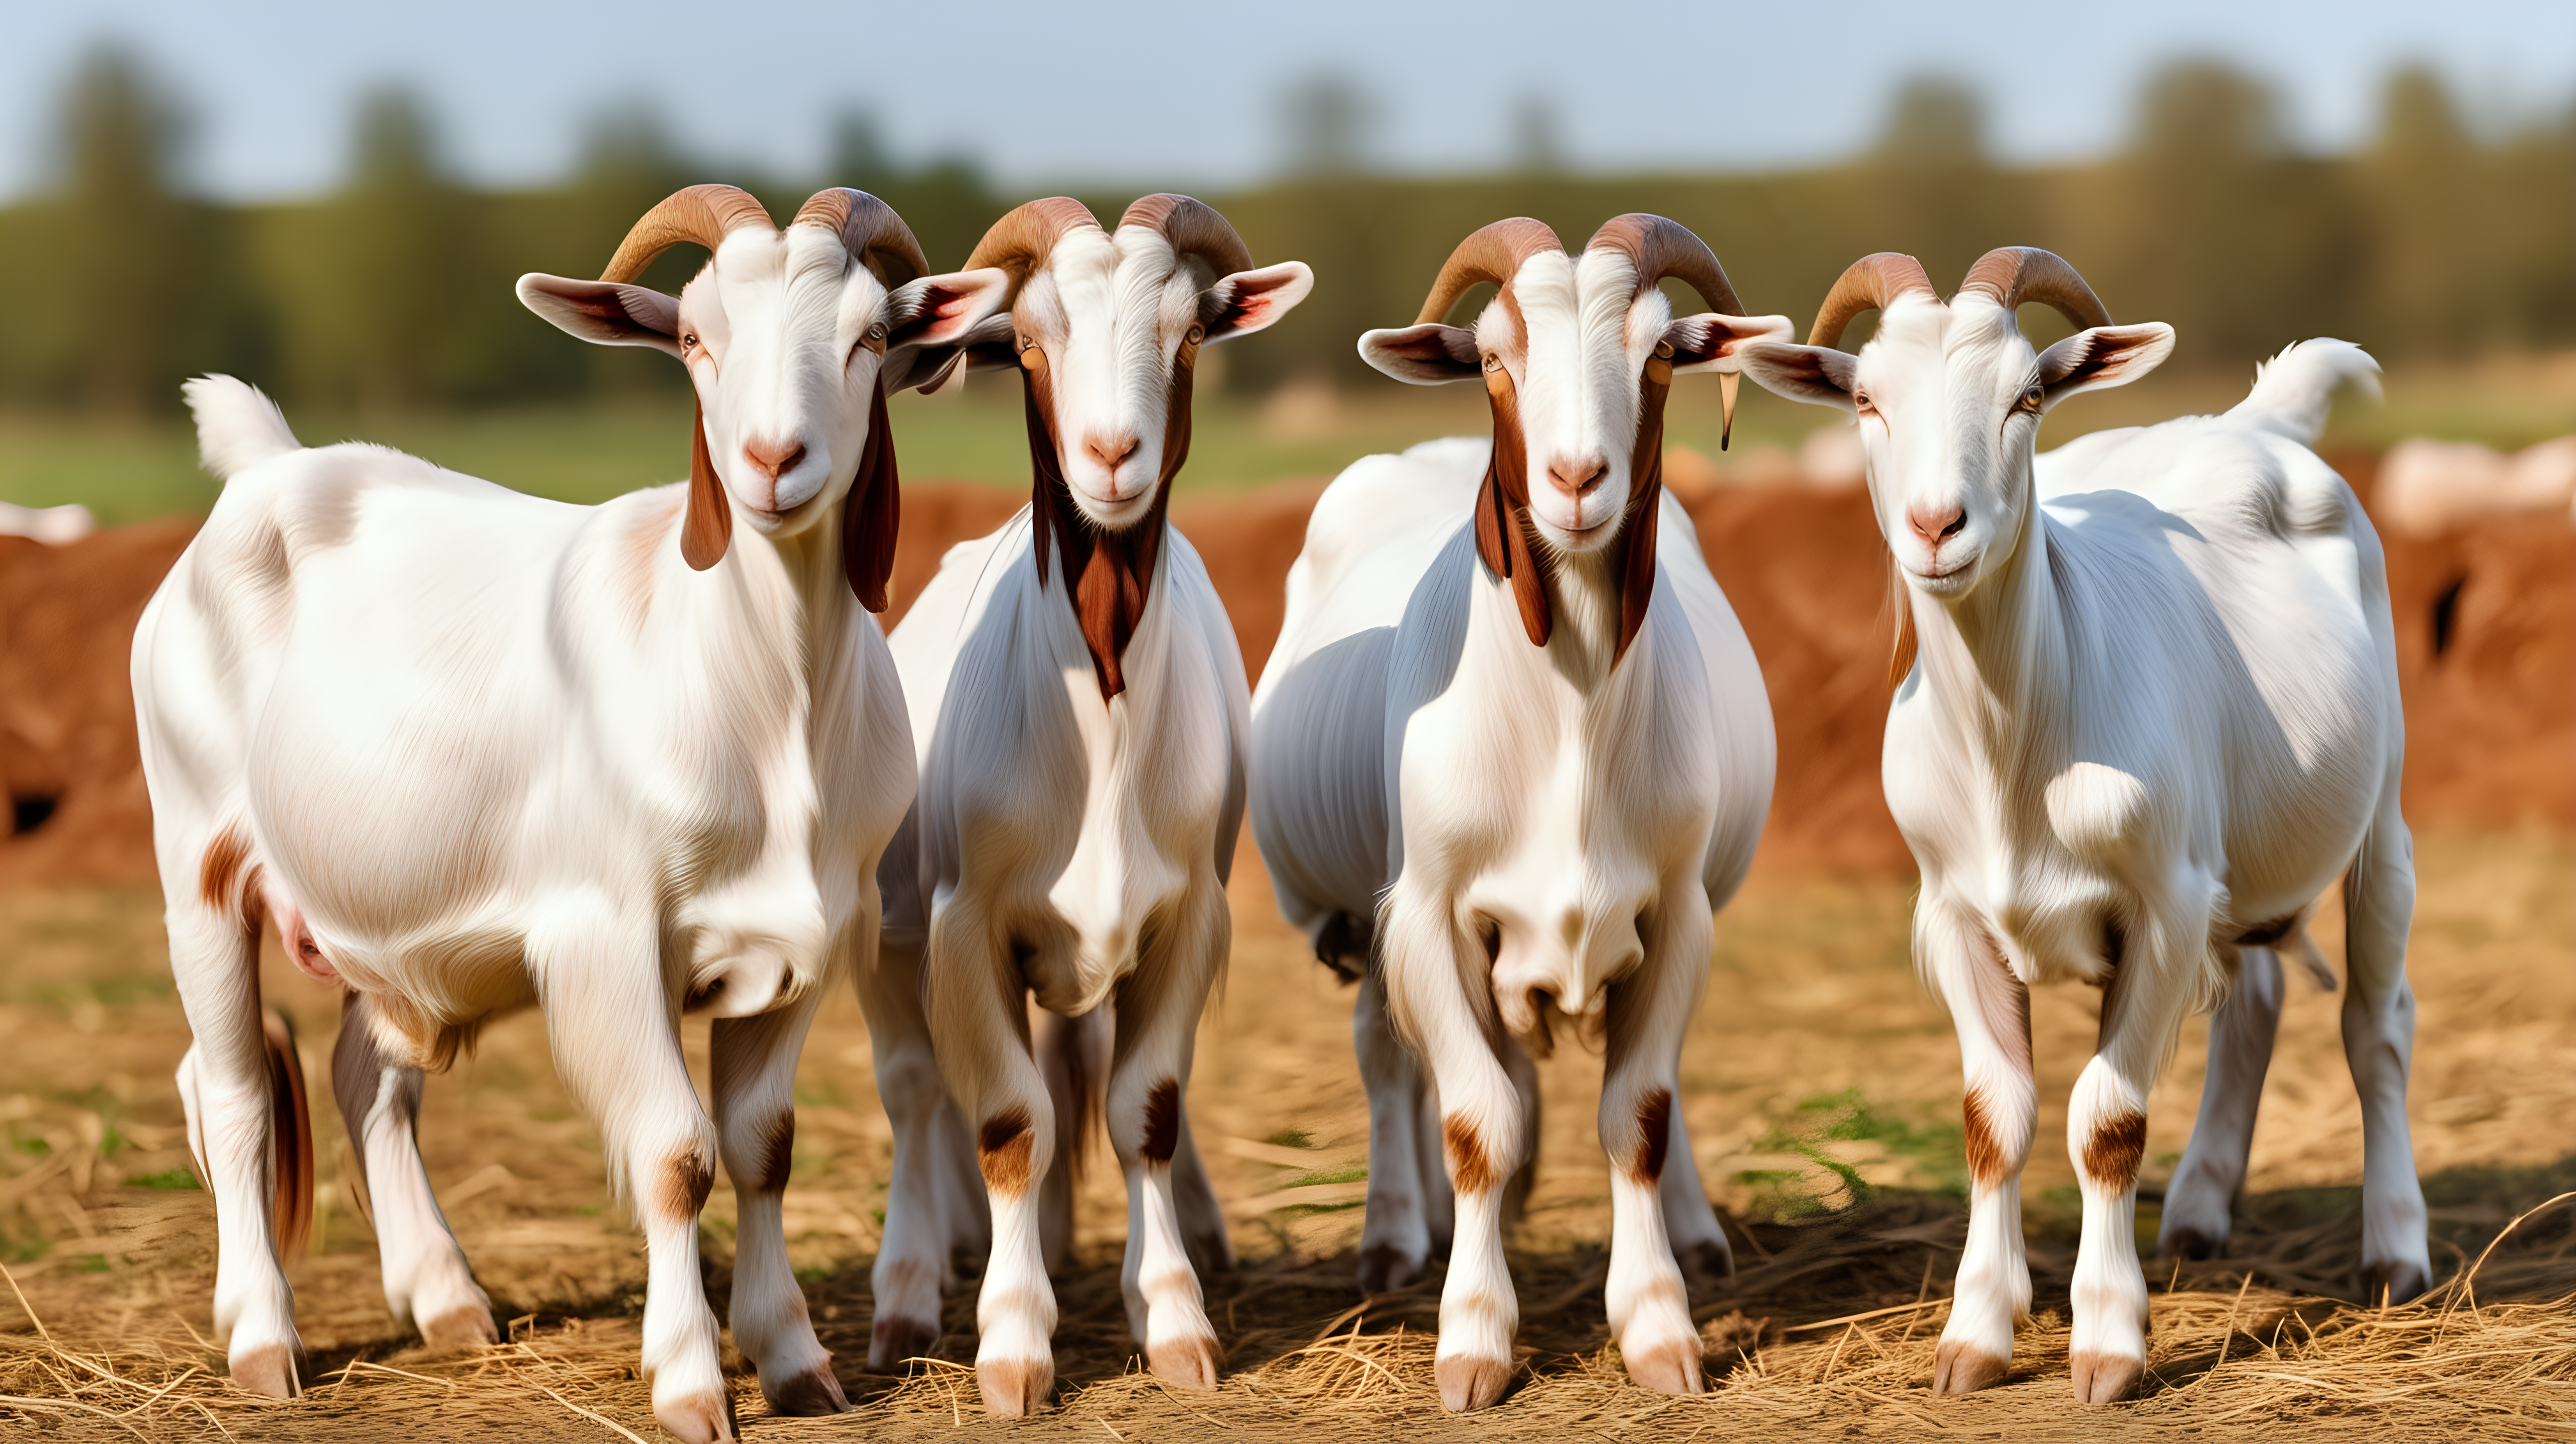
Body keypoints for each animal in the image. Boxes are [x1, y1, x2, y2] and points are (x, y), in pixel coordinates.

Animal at [136, 185, 1004, 1433]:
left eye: (869, 338)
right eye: (693, 337)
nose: (772, 460)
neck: (761, 697)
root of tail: (271, 466)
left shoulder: (808, 937)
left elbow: (763, 1145)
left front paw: (795, 1362)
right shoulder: (605, 935)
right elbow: (675, 1155)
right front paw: (689, 1383)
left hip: (386, 907)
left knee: (366, 1076)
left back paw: (446, 1299)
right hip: (195, 853)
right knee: (236, 1090)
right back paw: (263, 1339)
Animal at [870, 192, 1319, 1413]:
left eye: (1190, 332)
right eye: (1028, 341)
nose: (1113, 457)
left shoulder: (1188, 920)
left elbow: (1141, 1109)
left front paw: (1173, 1319)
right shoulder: (963, 926)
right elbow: (1009, 1119)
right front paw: (1014, 1345)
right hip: (892, 937)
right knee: (918, 1092)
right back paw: (908, 1290)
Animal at [1252, 216, 1782, 1413]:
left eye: (1662, 352)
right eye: (1492, 356)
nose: (1575, 479)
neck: (1568, 717)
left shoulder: (1677, 912)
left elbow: (1638, 1114)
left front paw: (1659, 1326)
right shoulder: (1427, 915)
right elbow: (1474, 1122)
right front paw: (1473, 1342)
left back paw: (1694, 1231)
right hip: (1363, 918)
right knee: (1386, 1055)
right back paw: (1397, 1236)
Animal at [1741, 254, 2421, 1402]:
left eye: (2024, 397)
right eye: (1867, 401)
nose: (1935, 526)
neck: (2015, 748)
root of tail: (2255, 420)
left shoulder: (2163, 902)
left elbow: (2106, 1122)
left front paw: (2107, 1348)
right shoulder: (1954, 914)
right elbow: (1994, 1120)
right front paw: (1974, 1335)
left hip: (2378, 815)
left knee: (2375, 1023)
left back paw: (2395, 1252)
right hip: (2240, 862)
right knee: (2258, 1000)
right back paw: (2196, 1214)